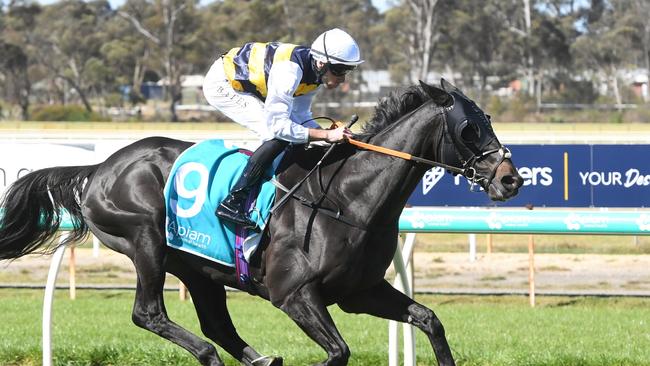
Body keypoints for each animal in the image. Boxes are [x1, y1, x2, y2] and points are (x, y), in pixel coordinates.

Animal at [0, 81, 520, 366]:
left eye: (489, 118)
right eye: (470, 128)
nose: (510, 179)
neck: (349, 198)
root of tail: (100, 167)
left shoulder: (359, 292)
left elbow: (429, 319)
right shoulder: (295, 294)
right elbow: (338, 352)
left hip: (199, 267)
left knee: (215, 325)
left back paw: (258, 359)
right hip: (145, 242)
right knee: (149, 314)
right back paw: (213, 355)